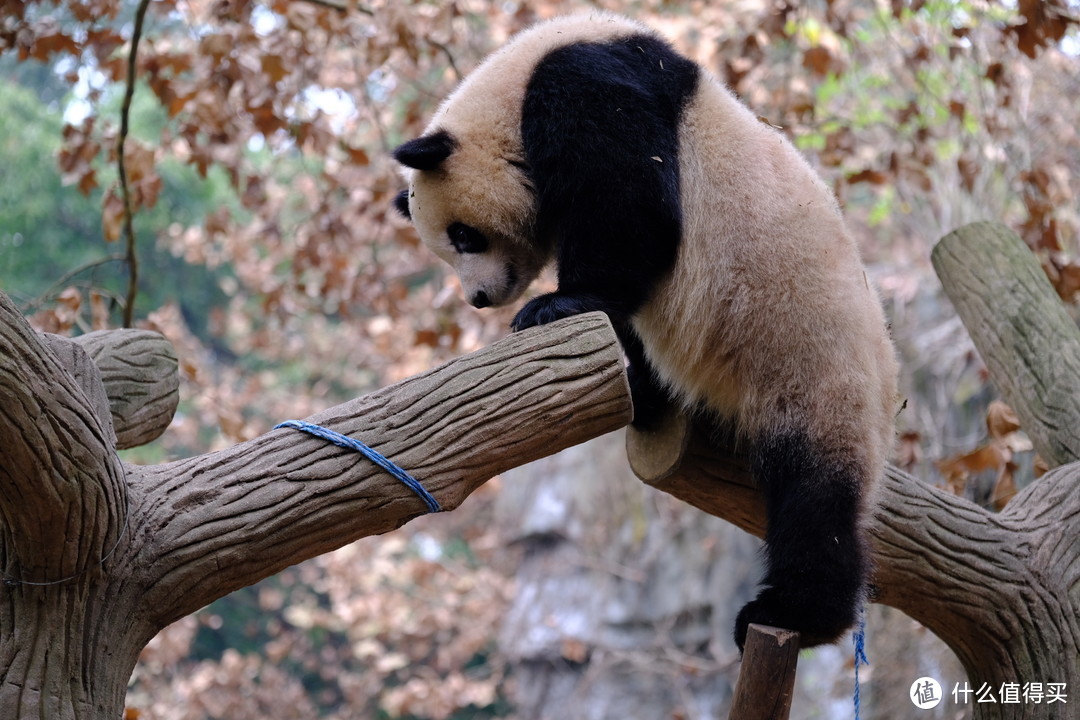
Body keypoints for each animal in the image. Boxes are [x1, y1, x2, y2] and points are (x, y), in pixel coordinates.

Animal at [393, 12, 898, 651]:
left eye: (463, 235)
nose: (480, 298)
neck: (516, 77)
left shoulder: (586, 85)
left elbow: (632, 207)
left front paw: (552, 305)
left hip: (809, 365)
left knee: (814, 499)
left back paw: (793, 612)